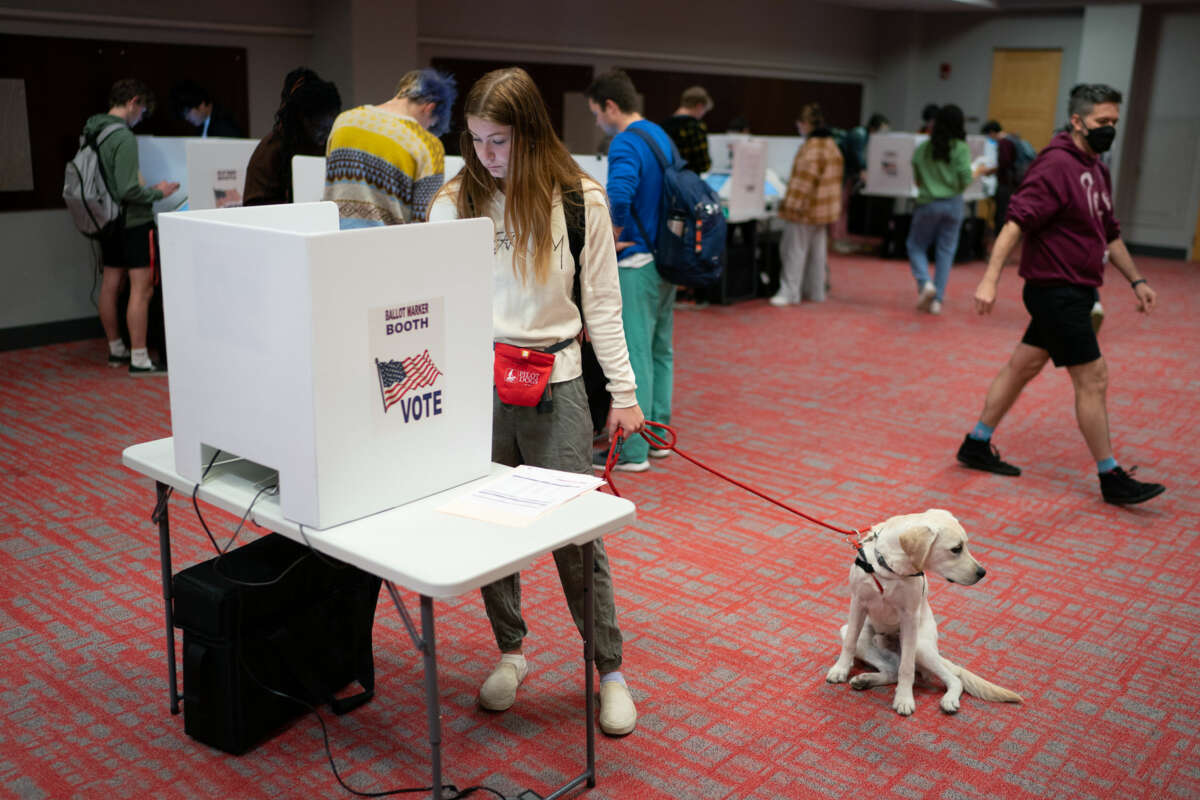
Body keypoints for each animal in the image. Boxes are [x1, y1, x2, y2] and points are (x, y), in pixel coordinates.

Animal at [825, 510, 1022, 714]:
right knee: (891, 669)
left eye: (964, 545)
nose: (982, 572)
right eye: (956, 549)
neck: (891, 568)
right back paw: (864, 680)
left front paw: (904, 698)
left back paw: (949, 699)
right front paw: (840, 669)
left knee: (952, 679)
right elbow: (849, 643)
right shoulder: (858, 603)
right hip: (858, 636)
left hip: (920, 646)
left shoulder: (909, 616)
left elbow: (907, 667)